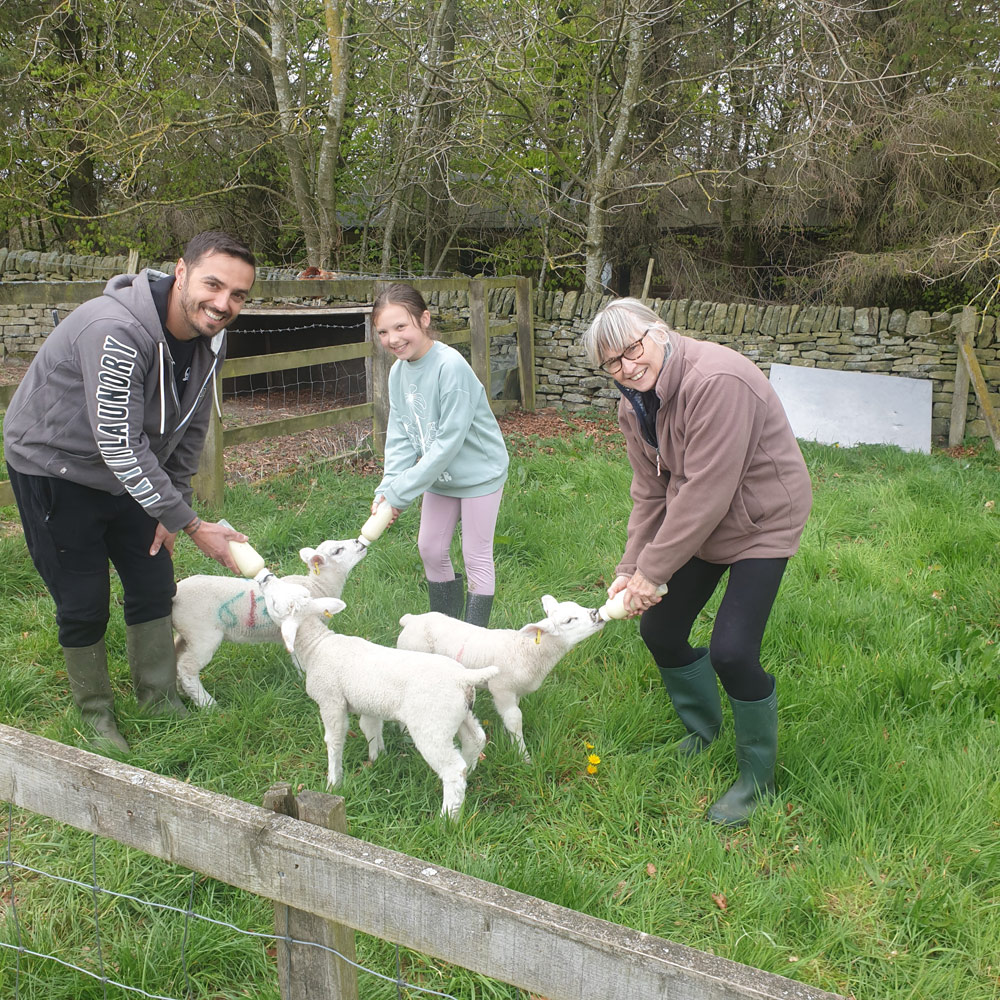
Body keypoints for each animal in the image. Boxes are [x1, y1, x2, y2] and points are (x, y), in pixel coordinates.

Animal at [173, 536, 368, 708]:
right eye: (337, 551)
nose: (359, 542)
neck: (318, 586)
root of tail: (176, 594)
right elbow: (299, 660)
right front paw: (303, 679)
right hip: (203, 634)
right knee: (187, 667)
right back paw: (208, 705)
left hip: (188, 632)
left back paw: (182, 692)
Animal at [254, 572, 496, 820]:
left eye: (274, 603)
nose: (265, 576)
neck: (316, 646)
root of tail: (464, 677)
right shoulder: (369, 704)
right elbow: (370, 729)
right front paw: (377, 757)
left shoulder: (331, 701)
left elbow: (334, 740)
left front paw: (333, 782)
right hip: (460, 713)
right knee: (476, 739)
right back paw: (471, 773)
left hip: (432, 726)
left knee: (453, 770)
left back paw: (448, 818)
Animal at [396, 592, 600, 764]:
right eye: (569, 620)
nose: (596, 613)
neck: (530, 650)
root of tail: (411, 619)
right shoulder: (502, 688)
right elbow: (515, 719)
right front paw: (524, 756)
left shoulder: (516, 691)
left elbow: (511, 717)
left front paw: (510, 738)